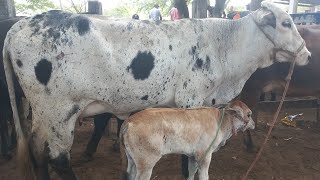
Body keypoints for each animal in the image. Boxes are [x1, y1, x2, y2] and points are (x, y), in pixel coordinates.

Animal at [119, 100, 255, 179]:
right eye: (249, 114)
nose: (253, 124)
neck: (220, 122)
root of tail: (128, 121)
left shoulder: (192, 156)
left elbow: (191, 172)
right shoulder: (204, 155)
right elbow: (204, 176)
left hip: (132, 160)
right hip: (146, 164)